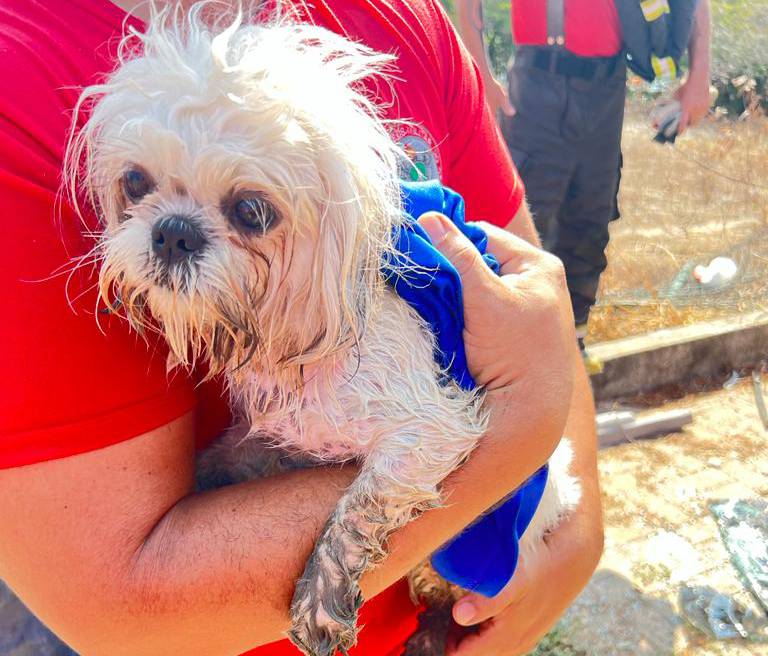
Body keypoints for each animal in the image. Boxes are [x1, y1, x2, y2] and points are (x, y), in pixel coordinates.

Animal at [66, 5, 580, 656]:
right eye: (135, 182)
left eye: (252, 211)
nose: (173, 232)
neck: (291, 343)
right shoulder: (276, 436)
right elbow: (231, 456)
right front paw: (208, 472)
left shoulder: (434, 432)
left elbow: (359, 506)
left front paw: (320, 595)